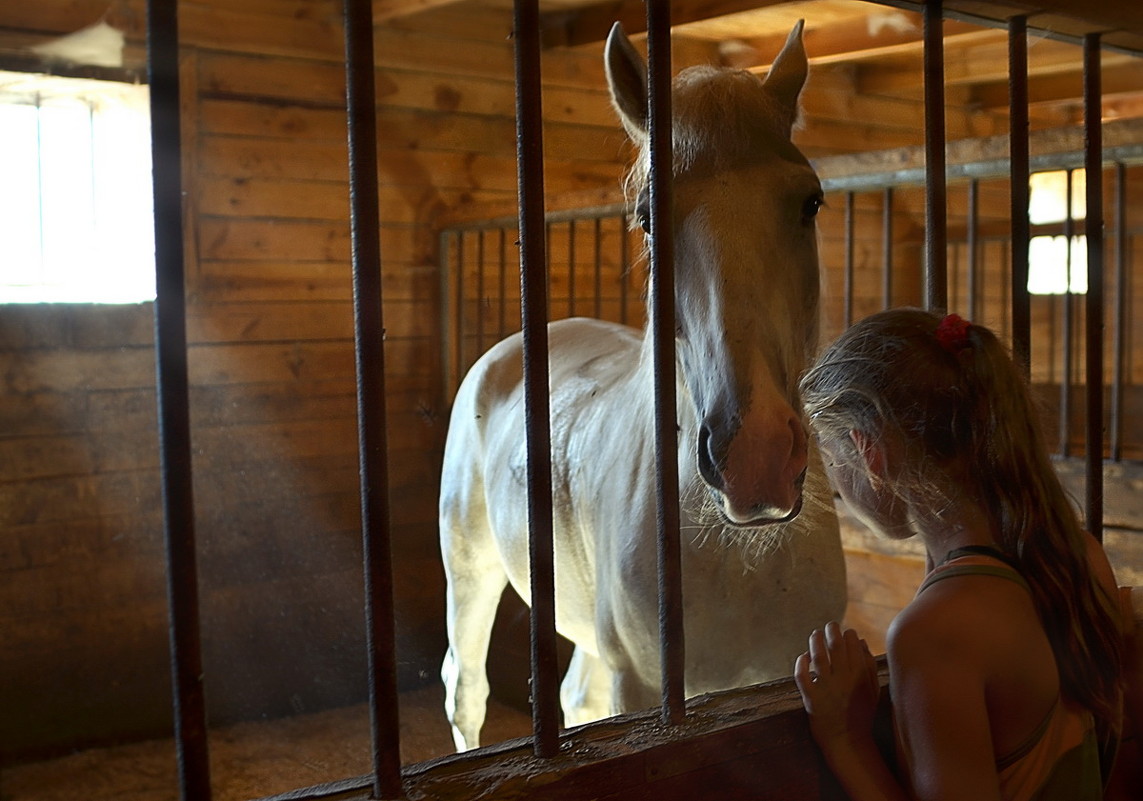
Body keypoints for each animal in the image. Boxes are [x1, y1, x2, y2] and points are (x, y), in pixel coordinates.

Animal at [436, 20, 850, 749]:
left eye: (810, 201)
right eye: (647, 216)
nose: (757, 458)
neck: (740, 556)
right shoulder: (641, 684)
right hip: (471, 569)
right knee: (466, 687)